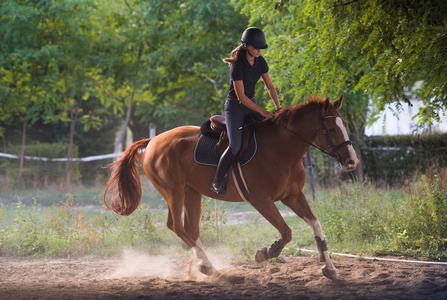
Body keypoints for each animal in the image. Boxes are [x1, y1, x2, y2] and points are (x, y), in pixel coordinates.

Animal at [103, 94, 358, 278]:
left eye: (344, 124)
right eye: (332, 129)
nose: (352, 161)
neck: (282, 150)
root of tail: (153, 140)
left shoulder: (293, 196)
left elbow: (315, 224)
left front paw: (329, 267)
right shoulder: (261, 200)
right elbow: (286, 232)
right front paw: (266, 253)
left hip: (191, 193)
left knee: (190, 230)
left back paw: (205, 268)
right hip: (173, 192)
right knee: (177, 226)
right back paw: (208, 267)